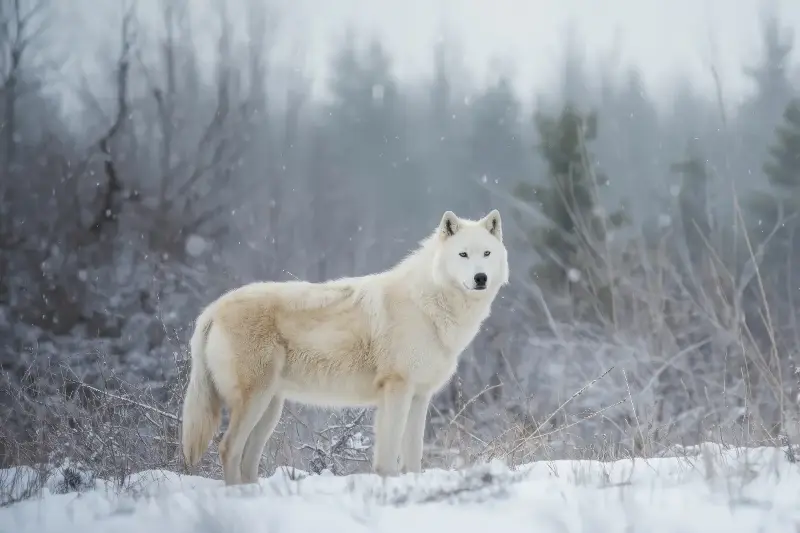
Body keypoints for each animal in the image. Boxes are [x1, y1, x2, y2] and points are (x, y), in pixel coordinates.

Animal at [180, 209, 509, 485]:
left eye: (487, 253)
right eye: (463, 254)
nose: (480, 278)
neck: (428, 305)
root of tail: (211, 309)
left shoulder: (419, 396)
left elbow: (413, 457)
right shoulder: (396, 390)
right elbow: (388, 457)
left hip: (270, 408)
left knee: (247, 459)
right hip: (255, 402)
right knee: (227, 448)